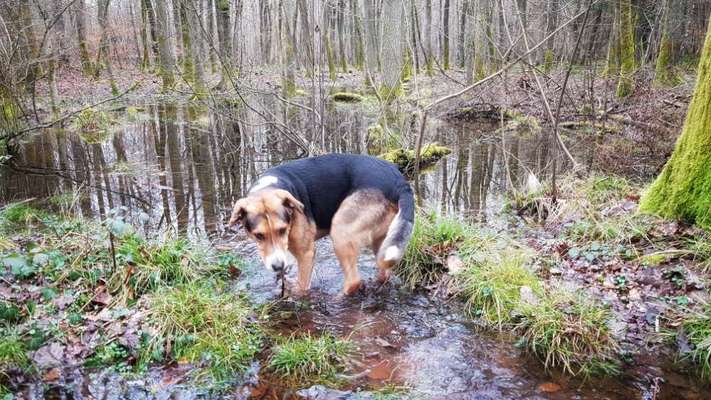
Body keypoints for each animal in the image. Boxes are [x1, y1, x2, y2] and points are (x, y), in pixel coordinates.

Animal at [228, 153, 418, 294]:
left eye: (282, 230)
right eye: (259, 235)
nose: (277, 266)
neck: (267, 188)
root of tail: (399, 182)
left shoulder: (306, 254)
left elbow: (302, 288)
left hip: (341, 231)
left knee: (354, 281)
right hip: (383, 241)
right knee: (384, 273)